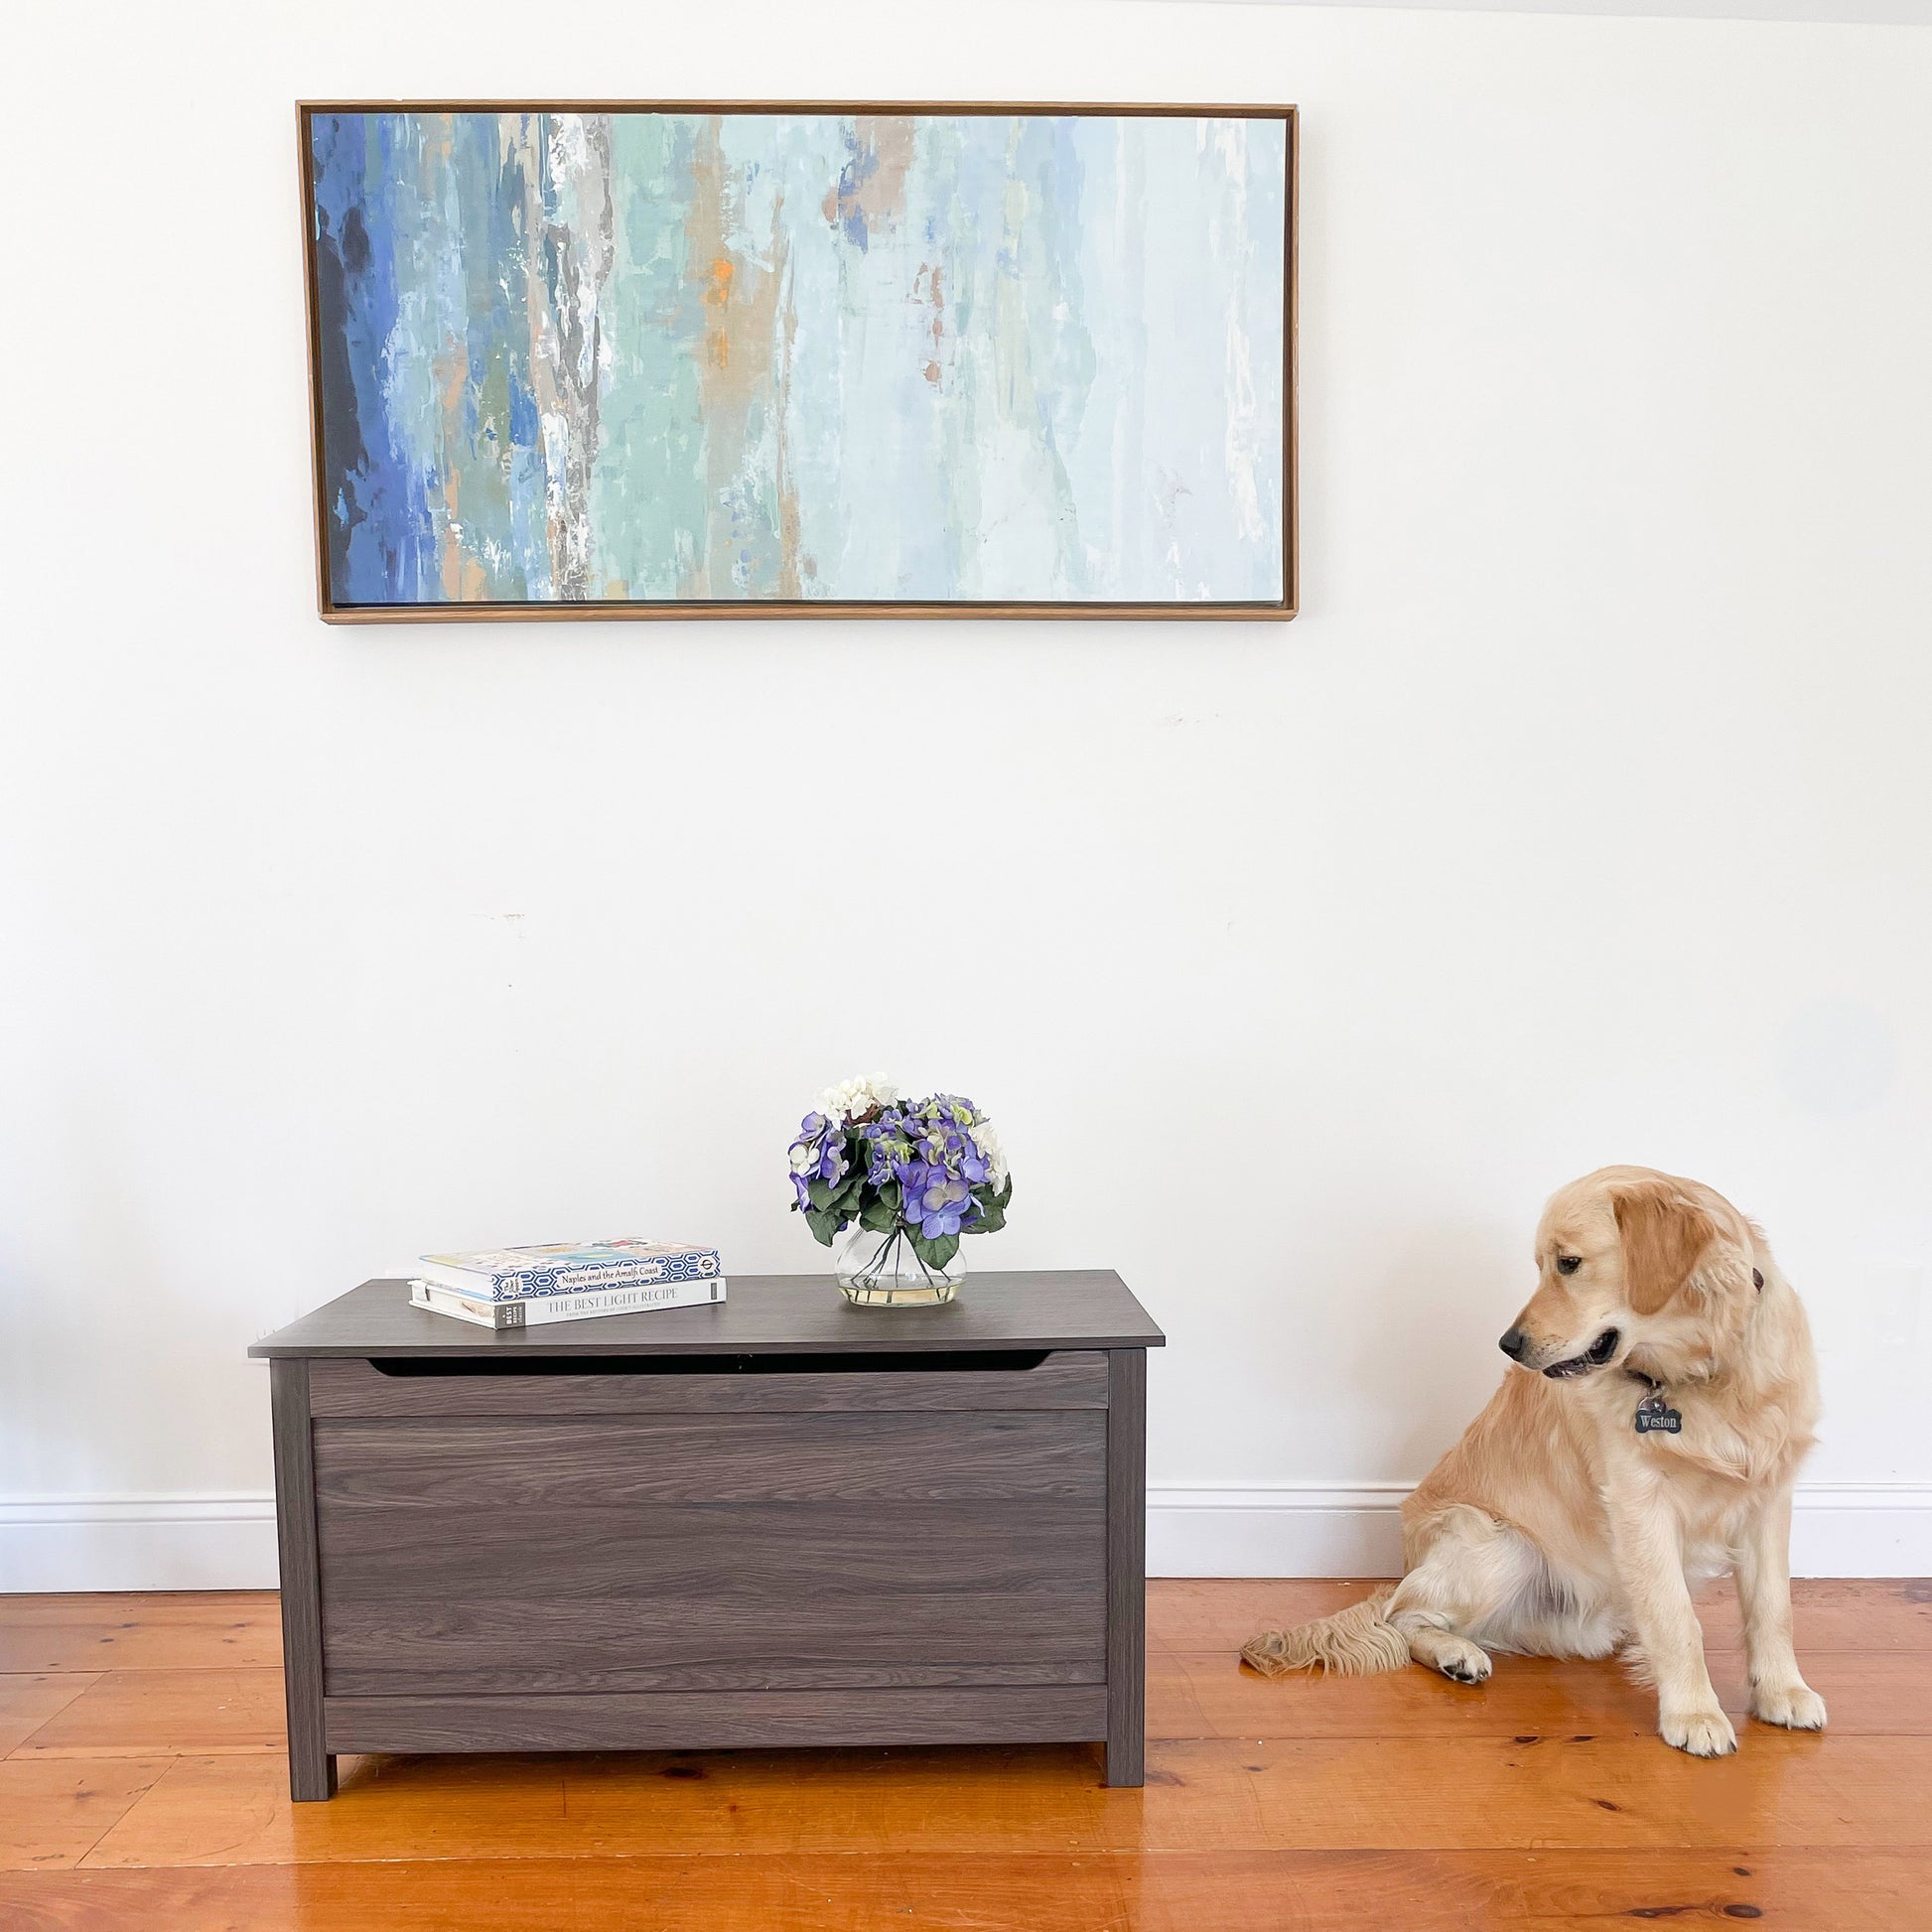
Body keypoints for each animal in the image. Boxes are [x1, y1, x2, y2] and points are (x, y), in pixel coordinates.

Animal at [1236, 1151, 1824, 1761]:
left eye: (1569, 1263)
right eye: (1542, 1265)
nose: (1508, 1345)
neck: (1707, 1373)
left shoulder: (1769, 1496)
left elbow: (1773, 1608)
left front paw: (1782, 1692)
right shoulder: (1640, 1503)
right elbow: (1677, 1617)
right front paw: (1695, 1714)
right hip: (1499, 1544)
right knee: (1402, 1614)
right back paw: (1456, 1655)